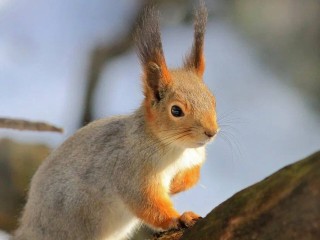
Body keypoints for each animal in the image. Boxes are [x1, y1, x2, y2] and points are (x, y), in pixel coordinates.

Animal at [11, 1, 218, 240]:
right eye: (176, 110)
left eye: (213, 99)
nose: (211, 132)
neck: (176, 148)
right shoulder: (131, 170)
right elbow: (146, 203)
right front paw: (178, 218)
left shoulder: (195, 157)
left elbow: (194, 175)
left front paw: (176, 185)